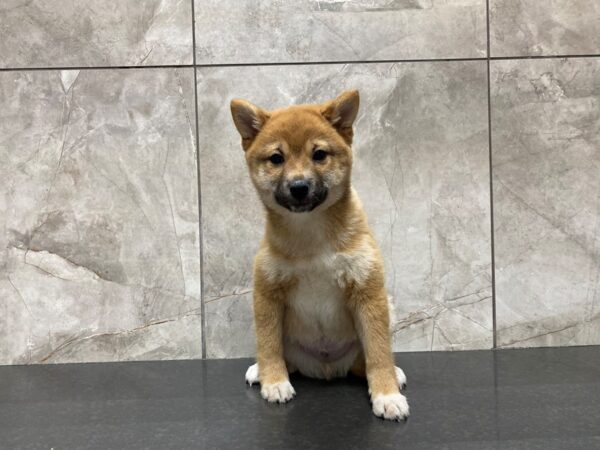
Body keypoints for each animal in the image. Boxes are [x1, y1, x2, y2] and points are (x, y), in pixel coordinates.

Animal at [229, 89, 408, 420]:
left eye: (319, 155)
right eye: (277, 158)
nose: (299, 186)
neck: (310, 232)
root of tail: (325, 367)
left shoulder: (367, 291)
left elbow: (378, 352)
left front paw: (386, 394)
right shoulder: (267, 292)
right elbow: (269, 345)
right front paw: (274, 381)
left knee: (365, 360)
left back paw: (393, 373)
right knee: (282, 354)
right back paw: (262, 370)